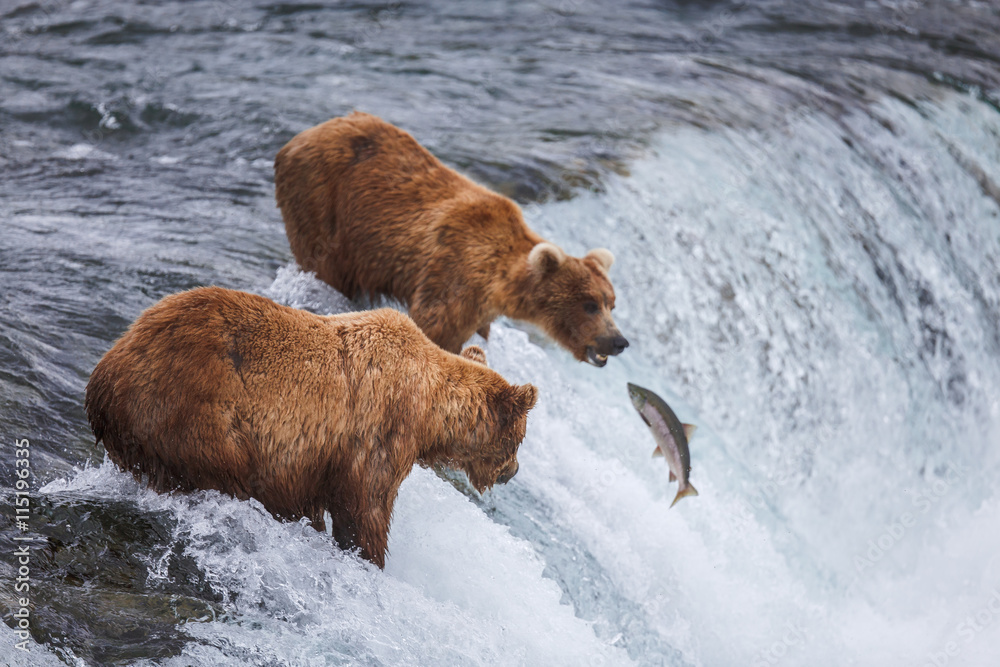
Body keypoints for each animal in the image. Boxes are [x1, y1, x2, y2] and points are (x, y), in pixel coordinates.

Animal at [85, 286, 538, 569]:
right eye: (519, 438)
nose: (514, 472)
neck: (429, 411)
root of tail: (105, 374)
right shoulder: (378, 432)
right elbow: (366, 508)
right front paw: (369, 556)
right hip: (194, 413)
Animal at [274, 111, 629, 367]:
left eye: (611, 302)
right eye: (589, 304)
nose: (618, 341)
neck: (497, 282)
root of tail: (302, 136)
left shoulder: (478, 308)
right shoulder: (452, 278)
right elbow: (435, 329)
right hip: (322, 204)